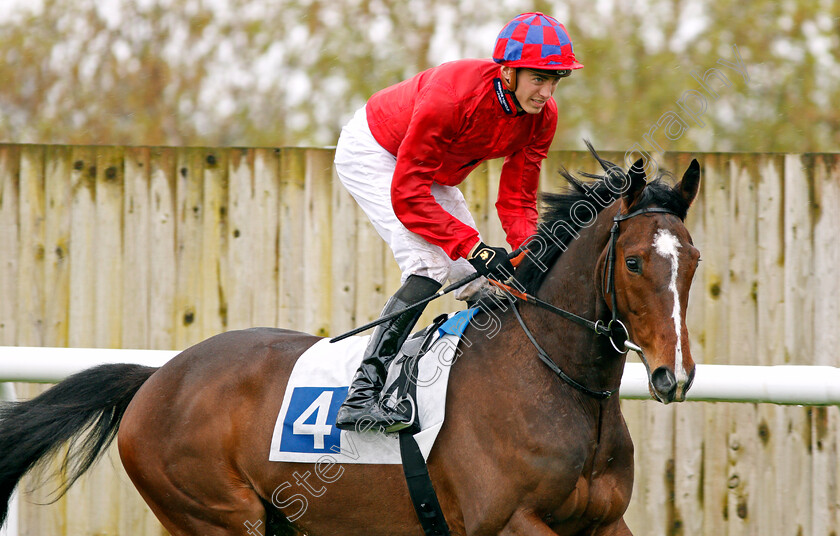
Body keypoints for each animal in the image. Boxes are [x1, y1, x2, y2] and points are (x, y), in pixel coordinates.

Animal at [0, 148, 700, 536]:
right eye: (634, 262)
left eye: (692, 260)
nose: (675, 375)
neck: (550, 377)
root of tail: (156, 378)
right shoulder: (507, 521)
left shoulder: (605, 521)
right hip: (215, 515)